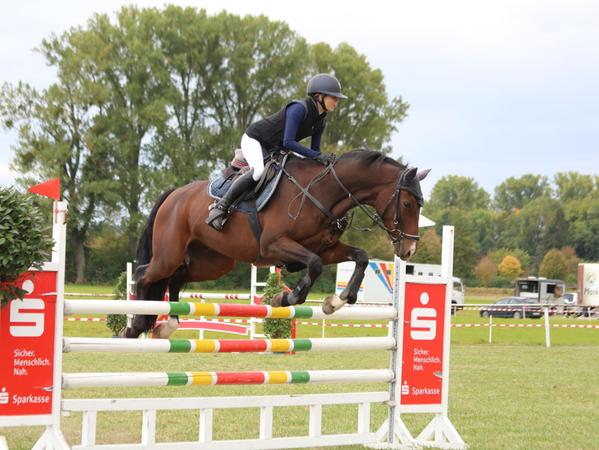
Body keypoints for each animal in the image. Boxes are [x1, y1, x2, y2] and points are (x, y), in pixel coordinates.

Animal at [124, 149, 428, 340]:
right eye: (408, 204)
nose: (409, 250)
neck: (322, 193)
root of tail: (174, 194)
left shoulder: (326, 248)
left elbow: (361, 256)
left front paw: (338, 301)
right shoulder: (273, 245)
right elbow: (314, 266)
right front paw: (285, 298)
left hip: (214, 262)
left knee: (177, 277)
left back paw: (168, 325)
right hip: (169, 253)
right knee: (145, 274)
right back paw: (134, 326)